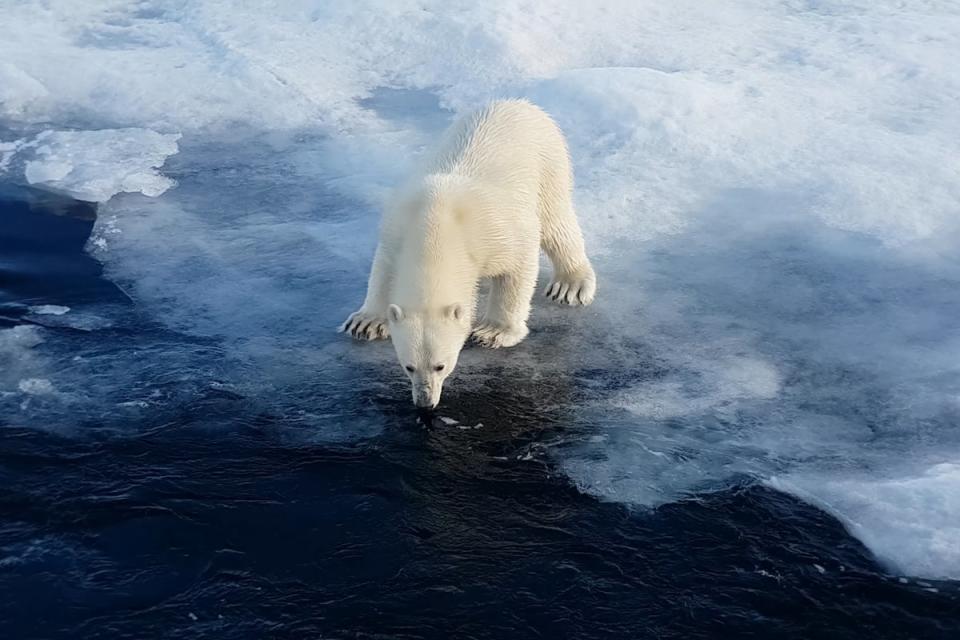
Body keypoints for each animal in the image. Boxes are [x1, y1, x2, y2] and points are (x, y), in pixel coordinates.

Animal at [342, 100, 596, 410]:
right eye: (408, 366)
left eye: (441, 365)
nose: (425, 402)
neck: (436, 224)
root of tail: (518, 103)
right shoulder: (397, 228)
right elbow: (382, 271)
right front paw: (366, 322)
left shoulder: (496, 233)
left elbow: (518, 265)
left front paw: (493, 332)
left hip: (548, 162)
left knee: (556, 221)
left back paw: (570, 284)